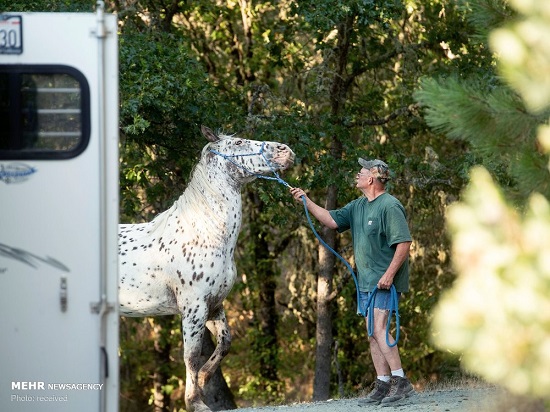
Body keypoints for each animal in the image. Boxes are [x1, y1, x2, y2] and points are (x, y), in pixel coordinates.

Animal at [118, 125, 296, 412]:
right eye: (238, 142)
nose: (286, 151)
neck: (204, 233)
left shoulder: (214, 305)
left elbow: (225, 342)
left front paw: (203, 378)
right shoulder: (194, 309)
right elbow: (190, 355)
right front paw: (195, 402)